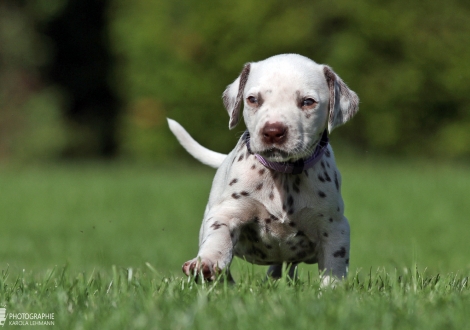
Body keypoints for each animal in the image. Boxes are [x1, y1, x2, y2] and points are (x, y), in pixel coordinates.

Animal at [167, 53, 358, 284]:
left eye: (308, 102)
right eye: (253, 99)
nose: (273, 131)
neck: (283, 175)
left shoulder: (335, 228)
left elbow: (334, 266)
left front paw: (331, 289)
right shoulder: (227, 213)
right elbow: (218, 237)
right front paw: (206, 262)